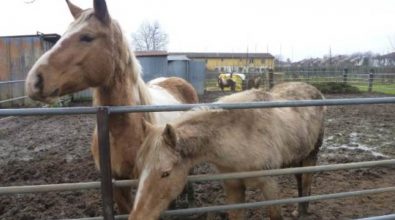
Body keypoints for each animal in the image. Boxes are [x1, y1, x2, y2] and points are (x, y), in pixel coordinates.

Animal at [131, 82, 326, 220]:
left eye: (166, 173)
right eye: (139, 170)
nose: (137, 217)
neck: (239, 136)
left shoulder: (269, 184)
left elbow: (275, 215)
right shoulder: (233, 185)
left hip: (311, 155)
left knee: (307, 182)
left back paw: (302, 212)